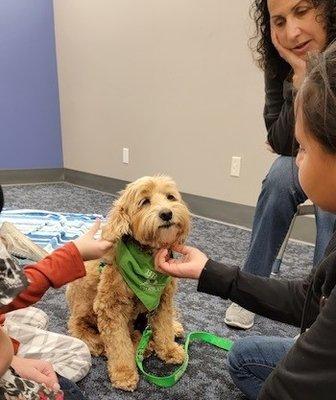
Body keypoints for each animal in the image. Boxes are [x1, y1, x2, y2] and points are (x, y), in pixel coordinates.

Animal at [67, 175, 190, 390]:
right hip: (83, 323)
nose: (167, 213)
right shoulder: (111, 309)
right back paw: (142, 346)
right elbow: (118, 344)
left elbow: (163, 327)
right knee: (102, 341)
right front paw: (124, 373)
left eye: (170, 197)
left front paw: (168, 349)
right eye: (145, 201)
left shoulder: (163, 301)